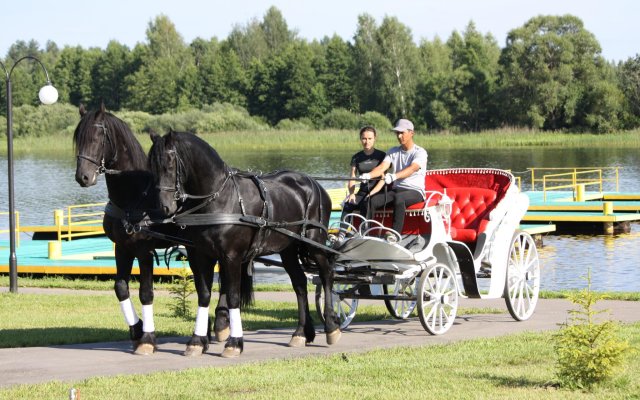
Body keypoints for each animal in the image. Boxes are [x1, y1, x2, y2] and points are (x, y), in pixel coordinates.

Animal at [74, 104, 231, 354]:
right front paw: (136, 329)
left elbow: (146, 293)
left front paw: (147, 339)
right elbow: (121, 288)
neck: (133, 195)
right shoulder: (122, 247)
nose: (83, 177)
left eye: (98, 137)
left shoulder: (143, 250)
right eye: (78, 137)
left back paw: (222, 324)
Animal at [148, 130, 342, 358]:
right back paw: (301, 333)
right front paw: (196, 341)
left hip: (315, 243)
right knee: (300, 284)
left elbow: (233, 297)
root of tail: (314, 184)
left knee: (327, 275)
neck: (220, 199)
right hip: (288, 249)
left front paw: (234, 343)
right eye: (152, 166)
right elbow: (203, 295)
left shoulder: (231, 257)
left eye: (169, 165)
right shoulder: (200, 256)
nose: (164, 208)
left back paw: (331, 327)